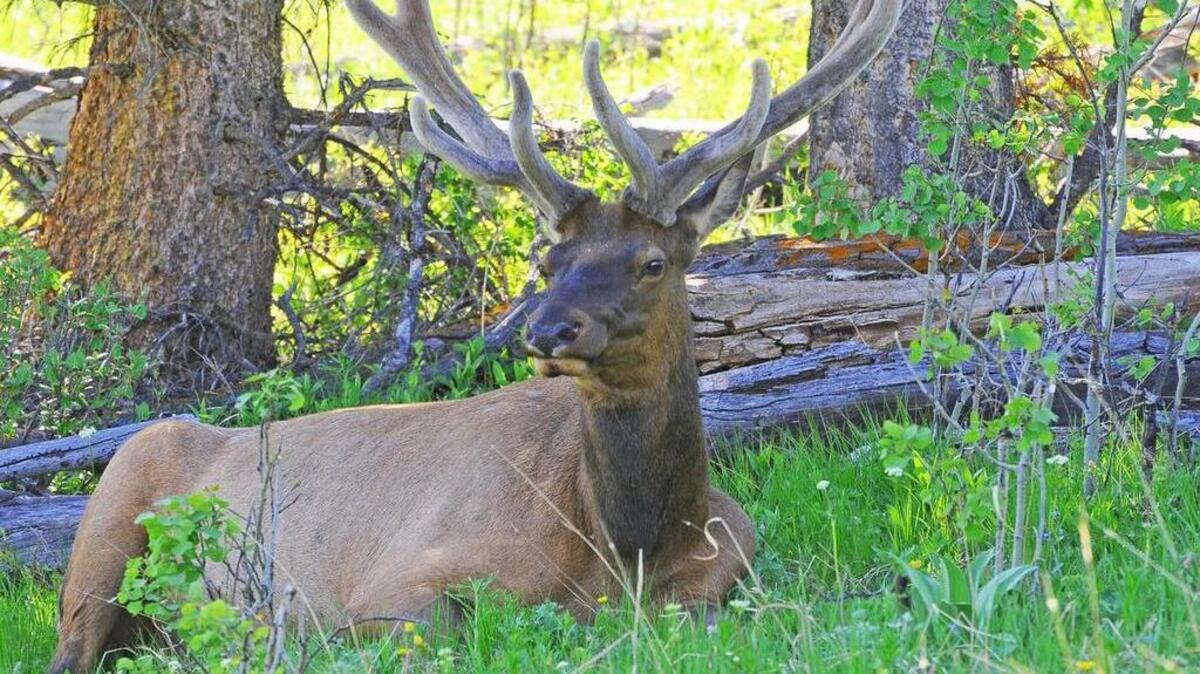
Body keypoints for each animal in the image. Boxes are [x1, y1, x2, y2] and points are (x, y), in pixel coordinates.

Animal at [50, 1, 900, 671]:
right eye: (549, 259)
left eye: (653, 261)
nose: (548, 328)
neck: (627, 548)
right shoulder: (397, 580)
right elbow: (441, 630)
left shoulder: (728, 566)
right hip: (107, 521)